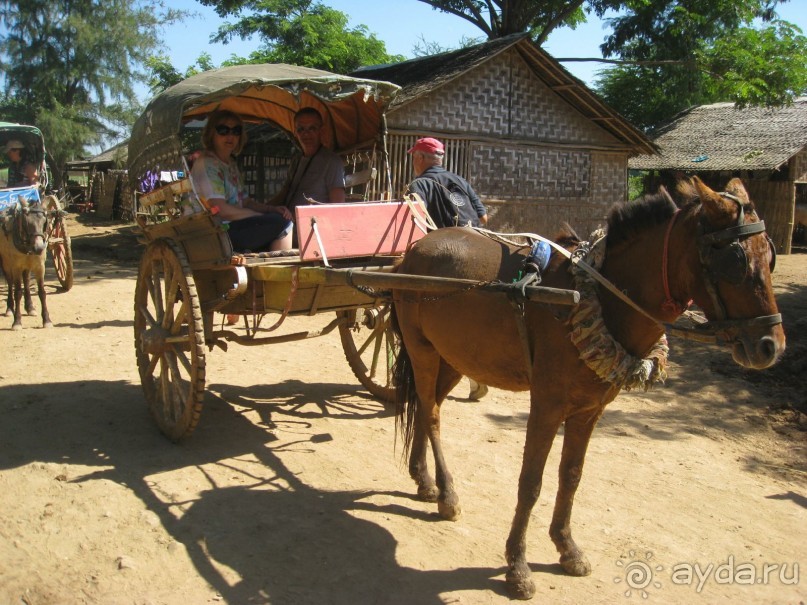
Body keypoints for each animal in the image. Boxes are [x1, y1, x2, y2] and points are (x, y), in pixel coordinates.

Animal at [0, 197, 51, 330]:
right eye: (27, 222)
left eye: (44, 221)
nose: (39, 248)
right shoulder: (16, 267)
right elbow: (18, 292)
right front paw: (17, 322)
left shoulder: (40, 267)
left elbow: (42, 292)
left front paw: (47, 320)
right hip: (6, 262)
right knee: (10, 282)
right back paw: (9, 309)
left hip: (27, 266)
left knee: (26, 280)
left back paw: (30, 307)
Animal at [388, 176, 784, 600]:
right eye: (735, 261)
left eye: (770, 257)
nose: (770, 346)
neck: (599, 299)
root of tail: (411, 254)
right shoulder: (546, 406)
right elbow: (531, 482)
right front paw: (518, 566)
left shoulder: (589, 411)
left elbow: (571, 476)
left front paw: (566, 547)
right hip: (422, 349)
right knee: (430, 414)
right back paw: (446, 494)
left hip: (452, 357)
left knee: (426, 405)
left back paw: (424, 479)